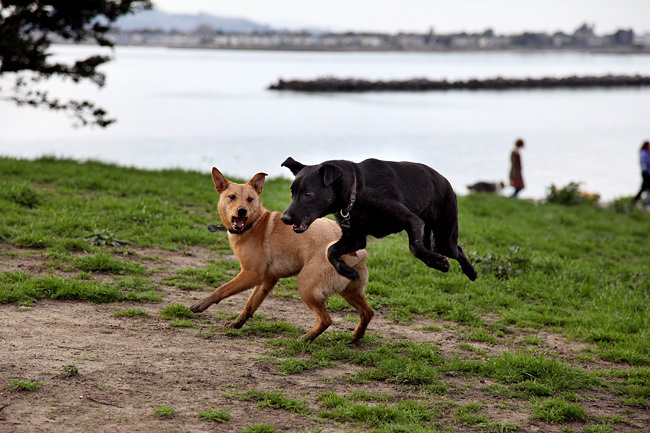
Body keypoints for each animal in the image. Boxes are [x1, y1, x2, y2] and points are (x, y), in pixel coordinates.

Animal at [190, 168, 372, 340]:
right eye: (232, 197)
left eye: (250, 199)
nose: (242, 211)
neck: (254, 224)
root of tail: (359, 252)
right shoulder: (267, 279)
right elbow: (250, 304)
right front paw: (237, 324)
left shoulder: (251, 274)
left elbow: (222, 289)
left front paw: (201, 304)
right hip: (349, 291)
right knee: (368, 312)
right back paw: (356, 336)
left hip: (307, 286)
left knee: (326, 319)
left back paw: (306, 338)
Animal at [278, 157, 476, 282]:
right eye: (292, 192)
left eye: (308, 194)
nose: (285, 218)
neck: (356, 192)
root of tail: (445, 180)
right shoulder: (355, 238)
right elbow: (331, 251)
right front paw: (348, 272)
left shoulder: (412, 221)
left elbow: (415, 247)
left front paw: (438, 263)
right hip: (434, 238)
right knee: (439, 246)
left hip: (444, 236)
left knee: (455, 249)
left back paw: (470, 271)